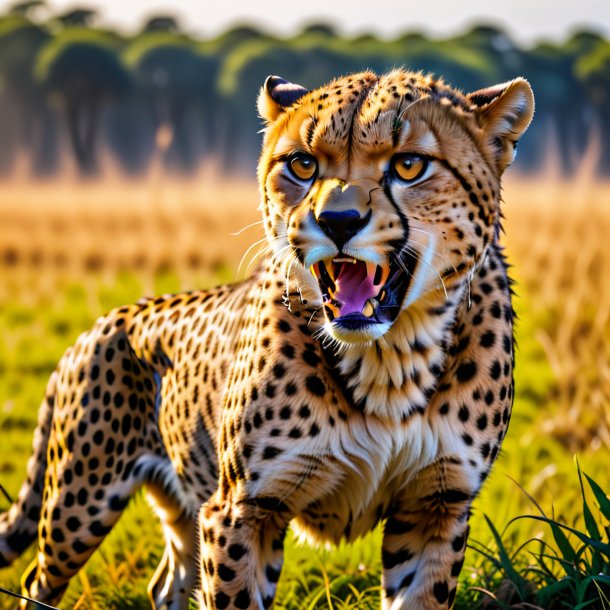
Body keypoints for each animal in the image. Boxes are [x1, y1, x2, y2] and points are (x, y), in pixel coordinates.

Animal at [0, 69, 532, 604]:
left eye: (409, 165)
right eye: (303, 164)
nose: (337, 221)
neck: (389, 361)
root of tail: (102, 322)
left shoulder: (436, 507)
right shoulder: (241, 509)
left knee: (166, 583)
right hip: (79, 503)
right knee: (37, 580)